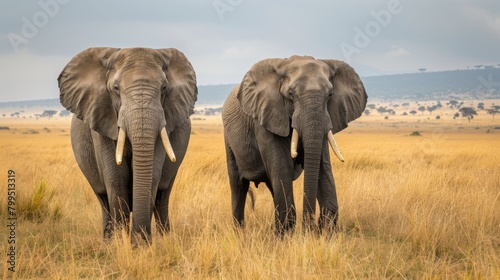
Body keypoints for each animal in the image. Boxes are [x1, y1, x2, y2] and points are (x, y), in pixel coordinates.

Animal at [58, 46, 197, 243]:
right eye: (116, 89)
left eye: (163, 88)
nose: (138, 241)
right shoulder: (102, 119)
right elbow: (116, 178)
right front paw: (120, 243)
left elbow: (153, 175)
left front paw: (142, 243)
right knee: (103, 198)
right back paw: (107, 240)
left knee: (163, 194)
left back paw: (166, 238)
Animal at [223, 54, 368, 234]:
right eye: (291, 94)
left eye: (330, 94)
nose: (309, 228)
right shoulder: (266, 117)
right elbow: (282, 166)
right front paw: (287, 236)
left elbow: (322, 166)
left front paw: (324, 233)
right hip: (228, 139)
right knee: (238, 185)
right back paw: (240, 233)